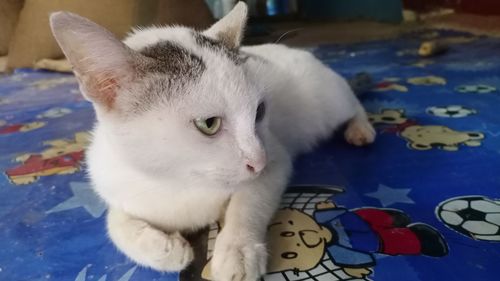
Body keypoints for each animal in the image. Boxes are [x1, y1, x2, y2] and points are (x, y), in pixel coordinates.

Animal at [49, 2, 376, 280]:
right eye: (209, 124)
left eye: (259, 111)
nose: (258, 161)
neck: (177, 181)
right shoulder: (117, 184)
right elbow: (114, 223)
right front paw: (162, 249)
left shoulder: (276, 158)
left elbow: (249, 201)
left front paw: (238, 251)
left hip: (330, 102)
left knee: (354, 103)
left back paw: (360, 129)